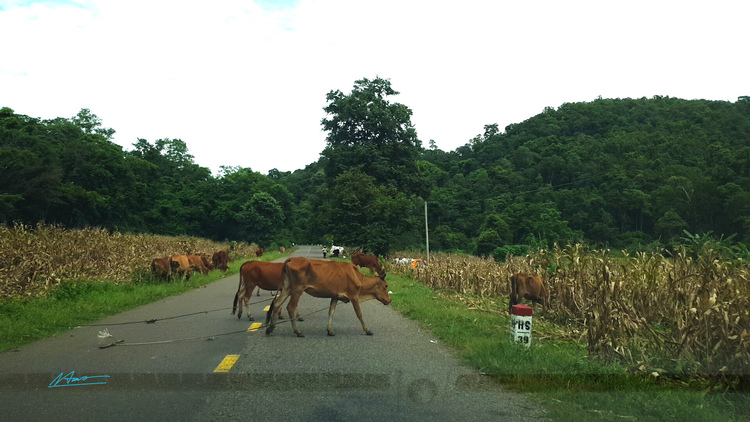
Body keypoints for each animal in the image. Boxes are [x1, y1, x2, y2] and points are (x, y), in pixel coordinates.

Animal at [266, 258, 394, 336]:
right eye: (386, 286)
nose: (390, 300)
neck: (358, 278)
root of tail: (292, 259)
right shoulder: (354, 297)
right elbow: (359, 314)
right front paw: (367, 330)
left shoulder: (335, 296)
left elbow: (331, 312)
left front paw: (330, 330)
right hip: (297, 289)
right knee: (290, 307)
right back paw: (298, 332)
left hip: (287, 288)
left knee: (277, 303)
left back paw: (270, 328)